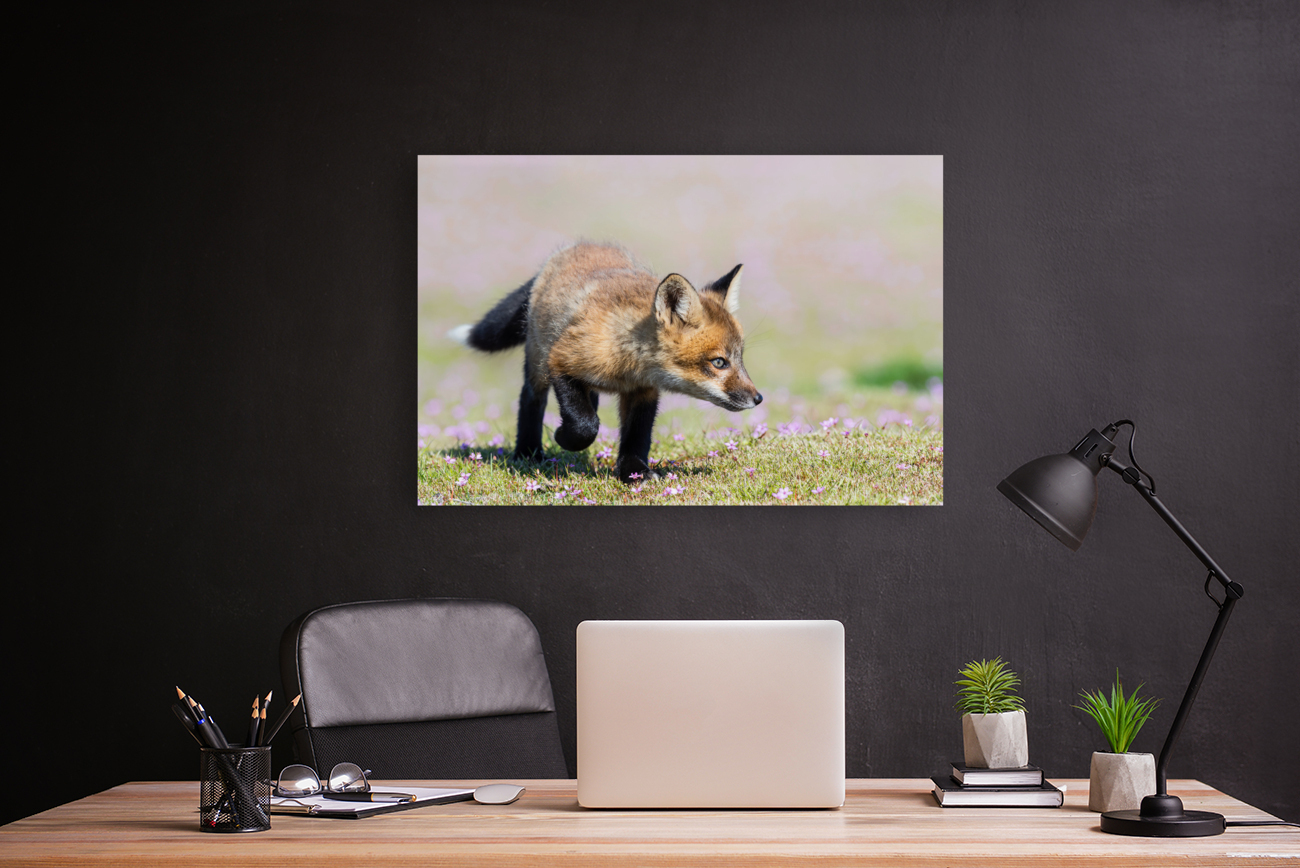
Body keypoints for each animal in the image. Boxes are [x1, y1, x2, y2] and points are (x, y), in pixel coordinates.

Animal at [450, 241, 763, 482]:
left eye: (740, 357)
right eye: (719, 362)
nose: (758, 398)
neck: (627, 366)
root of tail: (576, 246)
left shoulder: (643, 392)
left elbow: (636, 437)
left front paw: (634, 474)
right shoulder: (561, 361)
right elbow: (585, 425)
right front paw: (563, 438)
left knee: (590, 400)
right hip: (537, 361)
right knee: (531, 400)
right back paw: (528, 453)